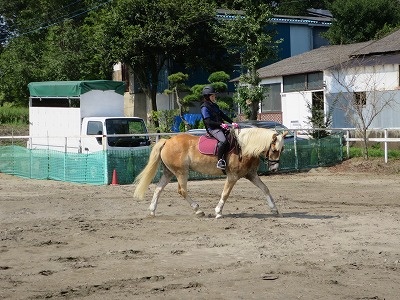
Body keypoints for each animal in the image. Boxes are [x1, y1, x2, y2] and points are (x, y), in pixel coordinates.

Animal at [134, 127, 288, 219]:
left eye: (282, 149)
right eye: (274, 150)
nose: (274, 169)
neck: (244, 148)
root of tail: (167, 141)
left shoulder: (251, 175)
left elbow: (265, 189)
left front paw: (274, 209)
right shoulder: (233, 176)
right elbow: (225, 194)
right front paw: (218, 212)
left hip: (169, 172)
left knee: (158, 189)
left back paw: (152, 210)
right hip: (181, 172)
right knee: (182, 190)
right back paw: (198, 210)